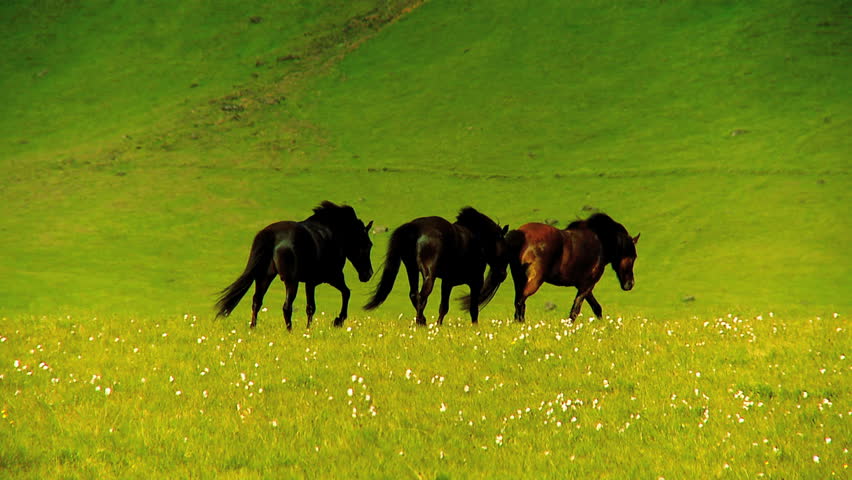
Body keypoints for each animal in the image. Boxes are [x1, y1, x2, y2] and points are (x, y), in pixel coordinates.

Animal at [215, 201, 374, 330]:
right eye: (368, 244)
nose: (369, 274)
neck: (332, 233)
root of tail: (272, 235)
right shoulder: (332, 277)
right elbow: (345, 293)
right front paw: (337, 321)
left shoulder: (310, 282)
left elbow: (310, 307)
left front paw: (309, 328)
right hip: (291, 281)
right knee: (286, 307)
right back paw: (289, 330)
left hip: (264, 277)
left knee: (257, 301)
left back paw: (253, 328)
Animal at [364, 207, 509, 325]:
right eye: (504, 246)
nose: (503, 275)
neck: (477, 238)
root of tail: (414, 227)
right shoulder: (475, 281)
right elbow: (471, 308)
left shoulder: (447, 281)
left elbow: (443, 307)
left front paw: (439, 324)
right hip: (429, 275)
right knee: (422, 296)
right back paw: (420, 322)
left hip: (412, 269)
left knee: (414, 294)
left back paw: (422, 321)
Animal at [508, 213, 639, 322]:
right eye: (633, 257)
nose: (630, 284)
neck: (601, 241)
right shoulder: (588, 284)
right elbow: (575, 310)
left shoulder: (582, 284)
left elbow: (596, 307)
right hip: (534, 281)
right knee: (520, 302)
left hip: (519, 280)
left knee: (518, 303)